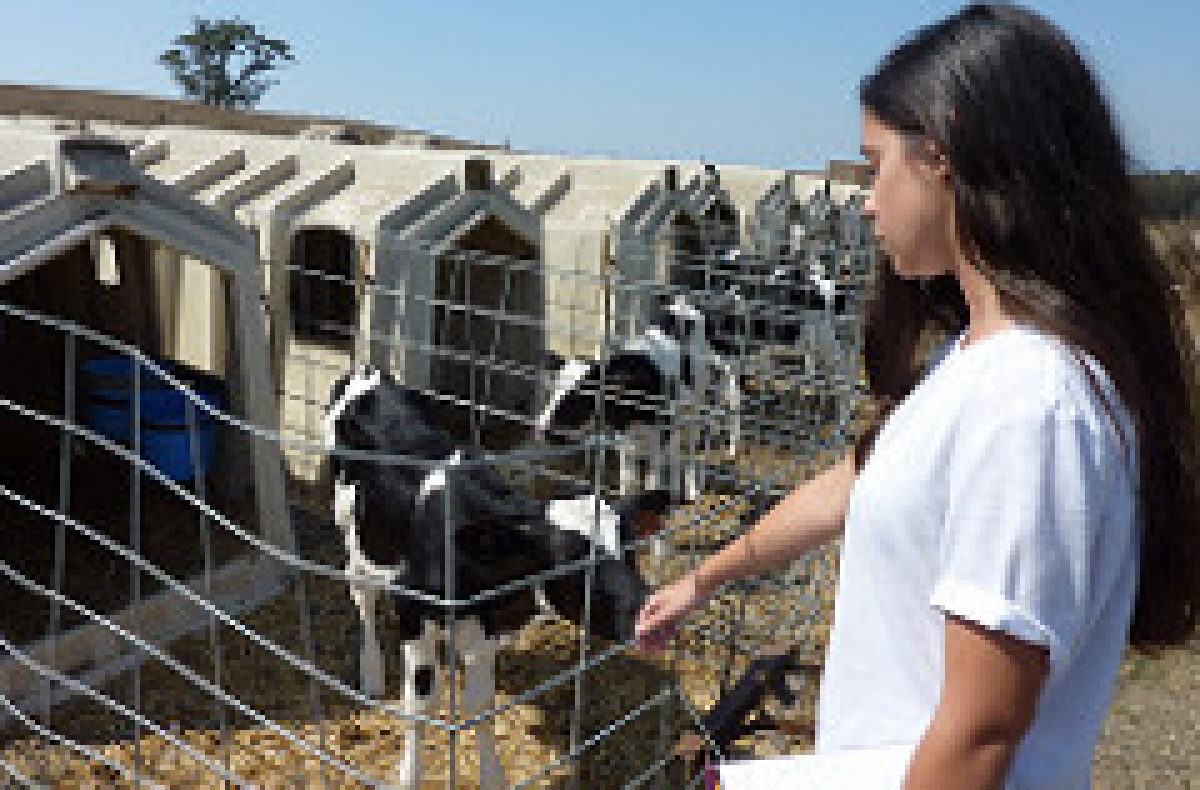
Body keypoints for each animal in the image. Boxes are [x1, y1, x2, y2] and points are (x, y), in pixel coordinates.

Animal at [324, 364, 672, 787]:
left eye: (631, 550)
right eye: (572, 563)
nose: (652, 614)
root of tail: (368, 371)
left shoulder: (487, 625)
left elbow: (482, 705)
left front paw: (491, 775)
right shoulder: (411, 606)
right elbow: (420, 705)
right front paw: (408, 776)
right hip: (352, 530)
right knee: (361, 591)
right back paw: (372, 672)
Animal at [535, 289, 739, 504]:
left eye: (577, 397)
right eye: (551, 390)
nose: (541, 427)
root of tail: (684, 308)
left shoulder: (663, 425)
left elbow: (656, 469)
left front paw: (656, 493)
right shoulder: (624, 432)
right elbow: (628, 472)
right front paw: (627, 497)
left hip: (695, 400)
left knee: (688, 443)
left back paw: (689, 490)